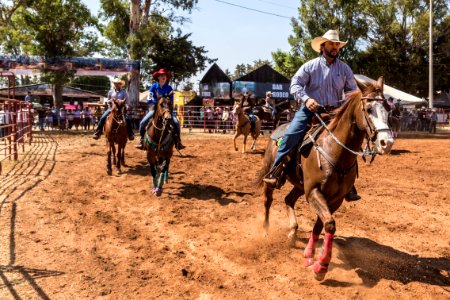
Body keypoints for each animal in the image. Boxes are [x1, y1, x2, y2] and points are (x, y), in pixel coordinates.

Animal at [256, 77, 394, 282]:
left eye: (387, 108)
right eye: (369, 109)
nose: (387, 143)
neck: (335, 151)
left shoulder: (335, 199)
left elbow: (321, 225)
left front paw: (310, 255)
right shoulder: (314, 192)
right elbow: (329, 224)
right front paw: (321, 266)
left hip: (300, 186)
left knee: (288, 200)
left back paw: (293, 231)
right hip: (272, 174)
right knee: (268, 200)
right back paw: (265, 229)